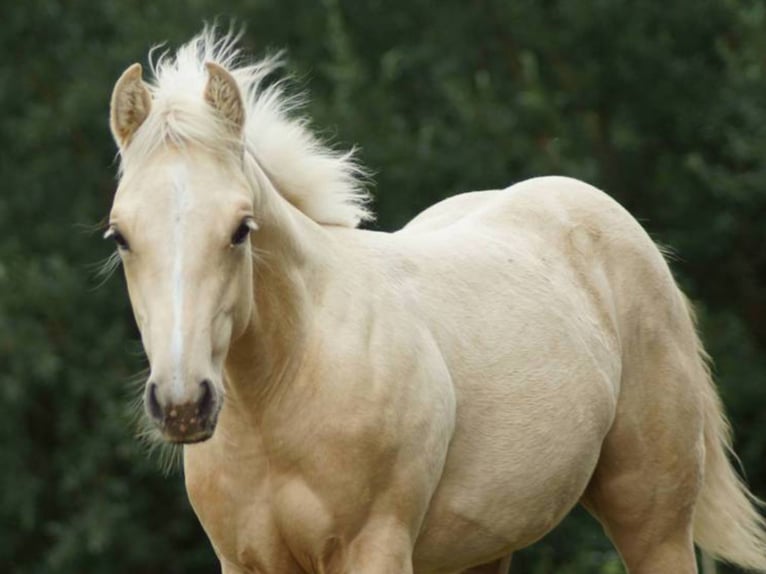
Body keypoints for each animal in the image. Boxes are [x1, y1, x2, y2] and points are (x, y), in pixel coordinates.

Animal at [106, 29, 766, 573]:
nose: (183, 405)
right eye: (120, 237)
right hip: (481, 550)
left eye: (241, 229)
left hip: (654, 523)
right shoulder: (246, 563)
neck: (285, 388)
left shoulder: (374, 549)